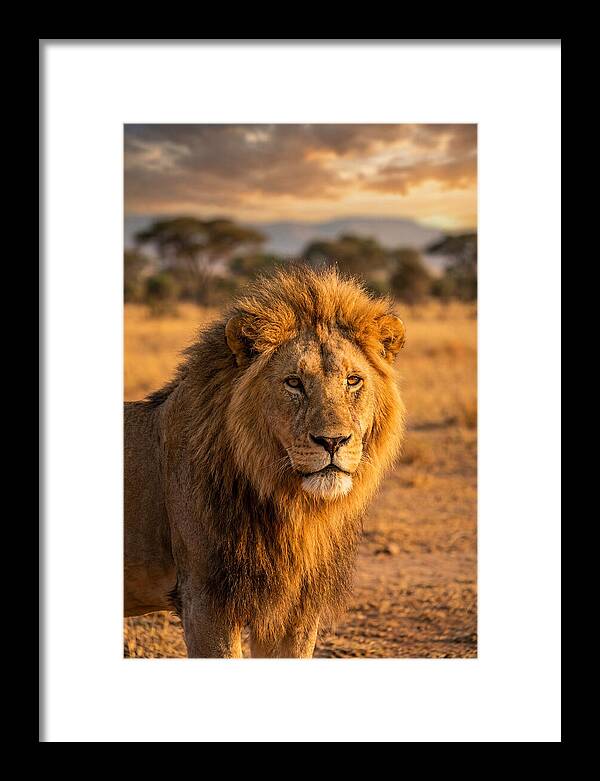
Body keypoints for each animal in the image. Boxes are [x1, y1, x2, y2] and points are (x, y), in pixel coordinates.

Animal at [124, 266, 406, 657]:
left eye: (353, 381)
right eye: (294, 383)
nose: (332, 441)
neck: (293, 508)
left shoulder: (296, 609)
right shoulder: (205, 601)